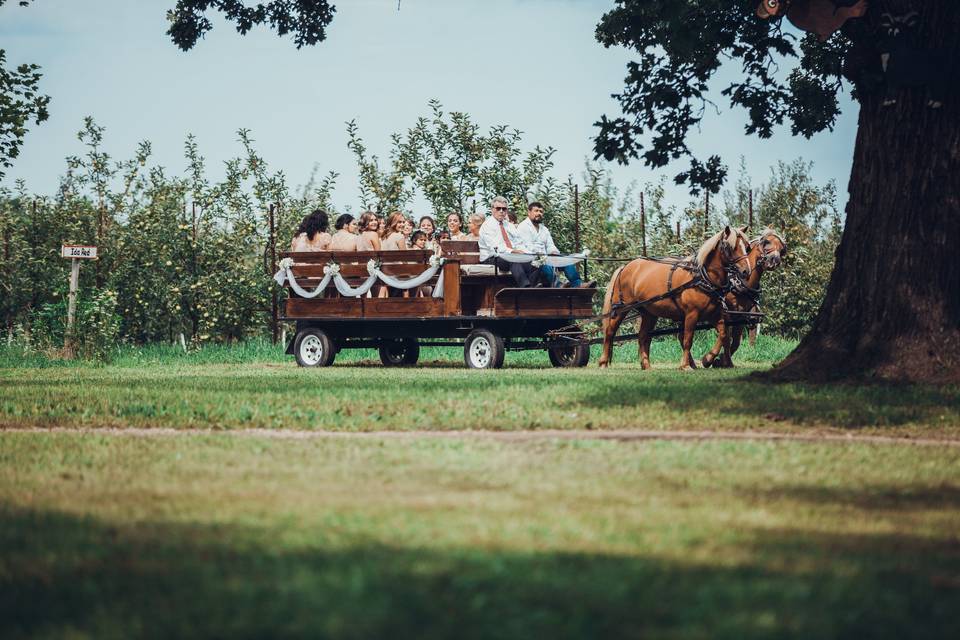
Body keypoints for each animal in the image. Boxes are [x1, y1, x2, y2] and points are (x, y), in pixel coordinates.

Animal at [596, 229, 752, 370]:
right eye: (731, 247)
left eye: (747, 247)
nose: (746, 271)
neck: (702, 277)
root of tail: (625, 267)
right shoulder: (692, 314)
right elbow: (688, 339)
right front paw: (686, 366)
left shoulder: (714, 315)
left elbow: (724, 335)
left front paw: (708, 359)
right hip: (621, 308)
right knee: (609, 333)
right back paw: (603, 363)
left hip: (649, 313)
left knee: (642, 336)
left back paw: (646, 365)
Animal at [696, 230, 788, 370]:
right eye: (766, 242)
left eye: (782, 249)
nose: (774, 260)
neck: (739, 283)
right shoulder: (726, 314)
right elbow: (725, 337)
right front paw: (709, 359)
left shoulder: (741, 315)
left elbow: (736, 341)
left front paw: (722, 360)